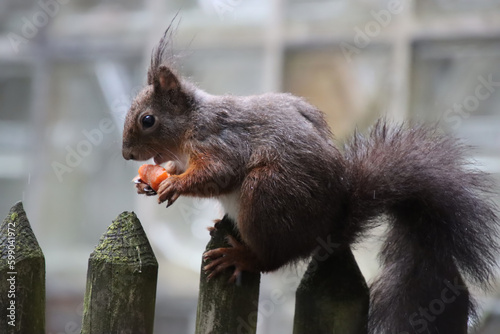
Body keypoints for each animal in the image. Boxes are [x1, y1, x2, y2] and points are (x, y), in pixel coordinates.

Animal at [122, 27, 500, 332]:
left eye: (147, 120)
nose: (126, 154)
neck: (190, 124)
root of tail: (327, 231)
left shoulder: (221, 142)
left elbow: (217, 173)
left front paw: (174, 185)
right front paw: (150, 182)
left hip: (266, 194)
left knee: (272, 260)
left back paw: (241, 257)